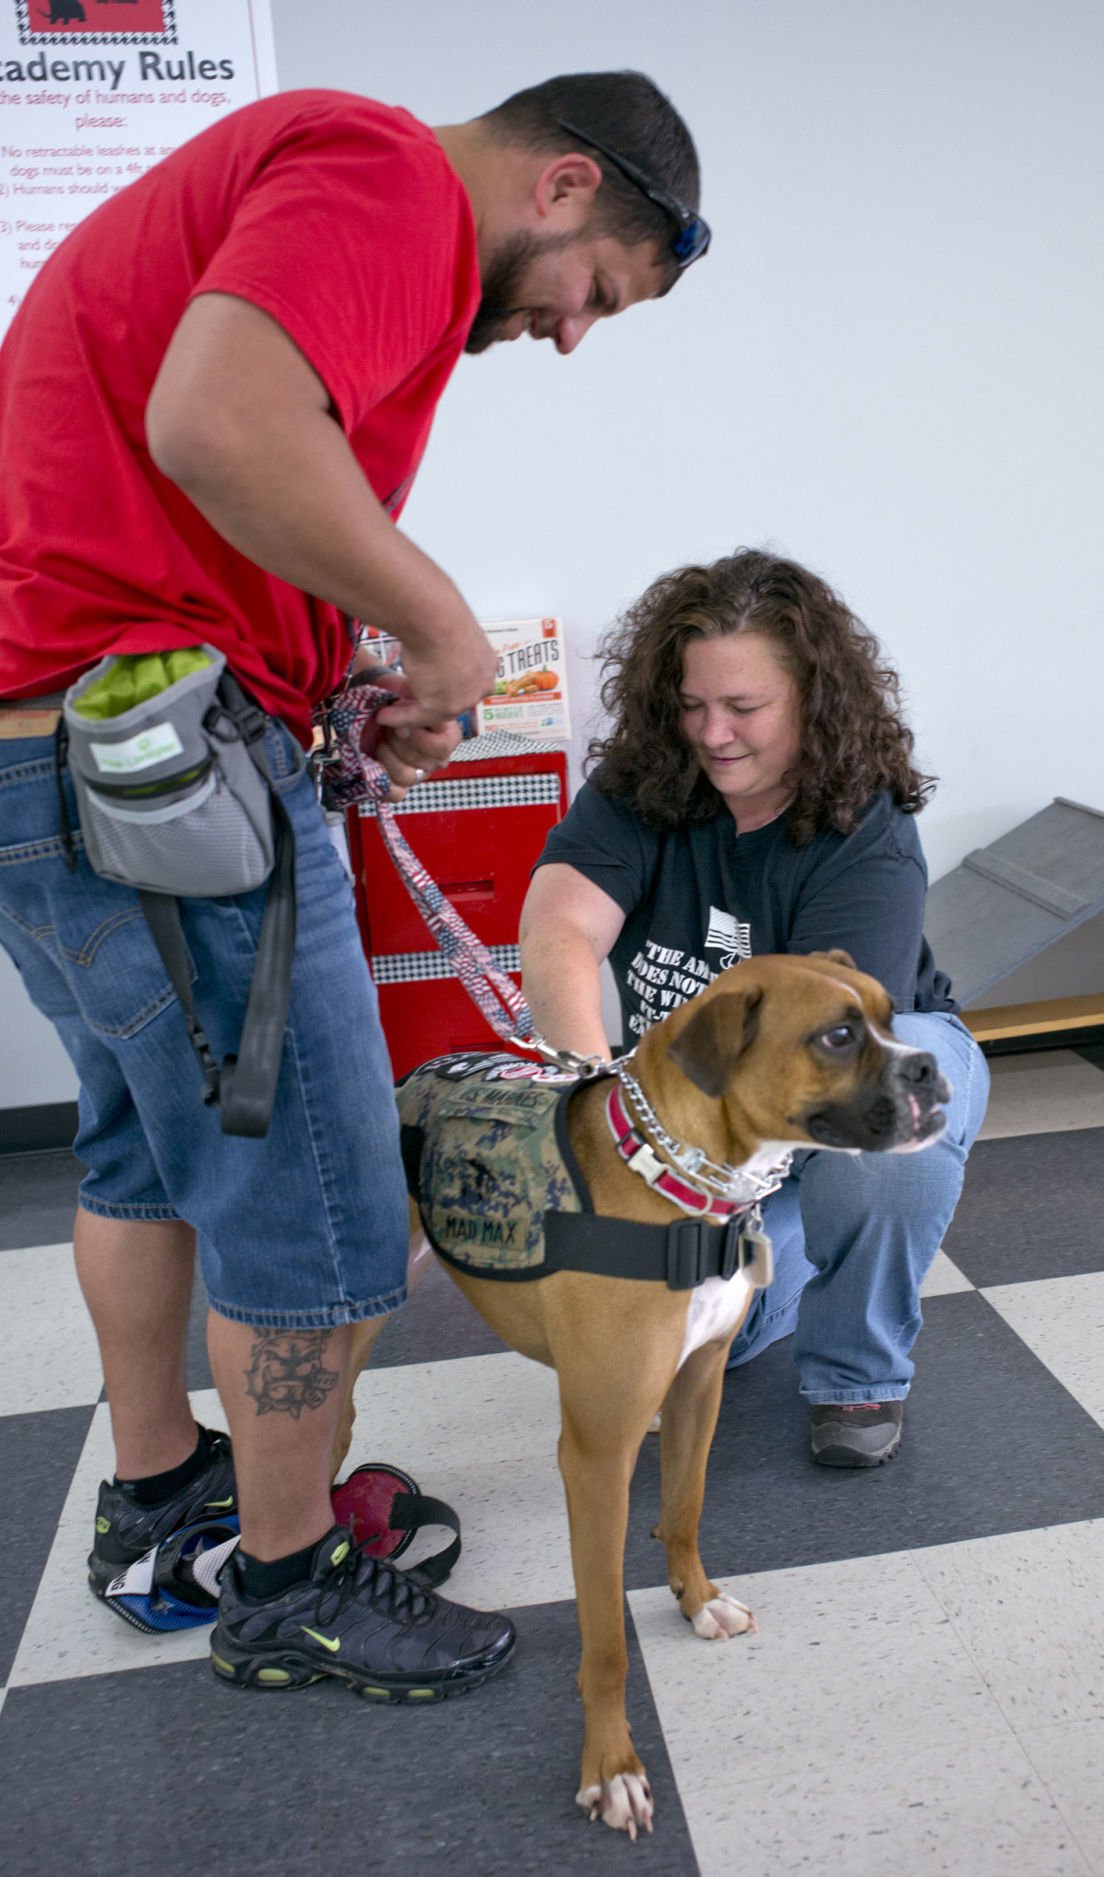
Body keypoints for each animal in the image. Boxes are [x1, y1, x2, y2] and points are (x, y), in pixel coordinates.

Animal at [336, 961, 950, 1839]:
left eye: (891, 1017)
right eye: (837, 1035)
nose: (928, 1067)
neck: (677, 1184)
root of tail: (411, 1075)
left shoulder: (696, 1389)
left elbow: (685, 1508)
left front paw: (697, 1600)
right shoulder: (597, 1455)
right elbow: (604, 1640)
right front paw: (611, 1766)